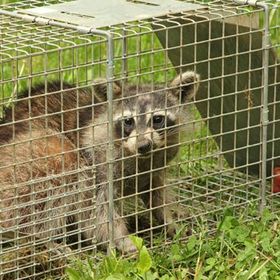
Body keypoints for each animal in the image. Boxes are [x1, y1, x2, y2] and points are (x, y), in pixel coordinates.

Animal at [0, 70, 200, 254]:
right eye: (128, 121)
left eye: (157, 119)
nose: (143, 145)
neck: (138, 157)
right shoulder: (98, 162)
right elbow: (97, 213)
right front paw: (122, 239)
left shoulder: (157, 164)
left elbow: (157, 194)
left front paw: (169, 221)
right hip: (29, 159)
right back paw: (38, 239)